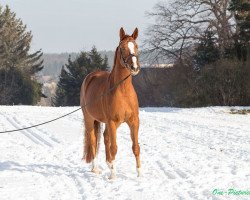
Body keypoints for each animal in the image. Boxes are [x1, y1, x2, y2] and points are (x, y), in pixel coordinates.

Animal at [81, 27, 142, 179]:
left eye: (136, 46)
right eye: (122, 48)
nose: (134, 67)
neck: (123, 91)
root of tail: (90, 77)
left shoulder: (134, 121)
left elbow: (136, 147)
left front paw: (140, 174)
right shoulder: (112, 122)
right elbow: (114, 147)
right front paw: (113, 176)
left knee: (105, 137)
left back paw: (109, 164)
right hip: (90, 119)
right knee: (93, 141)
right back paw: (96, 168)